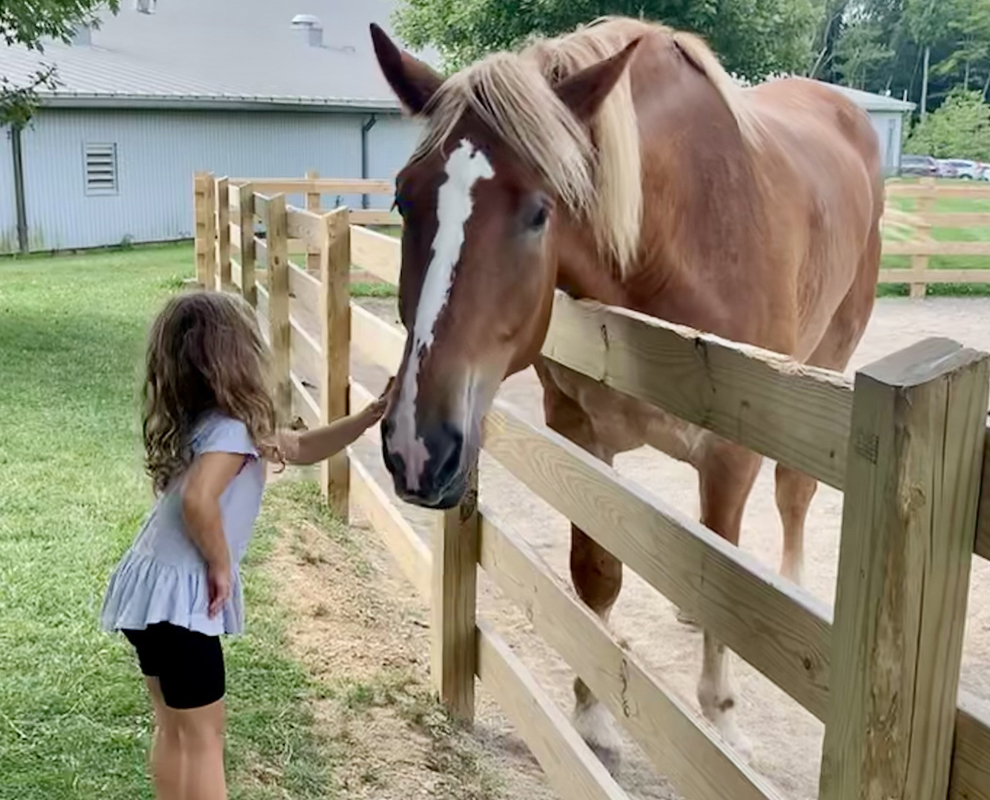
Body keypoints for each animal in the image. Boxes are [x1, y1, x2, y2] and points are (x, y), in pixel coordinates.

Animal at [372, 15, 884, 764]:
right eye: (404, 198)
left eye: (540, 212)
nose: (417, 447)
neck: (675, 238)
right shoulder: (580, 430)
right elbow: (597, 571)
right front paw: (592, 714)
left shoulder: (733, 451)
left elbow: (725, 588)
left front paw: (723, 720)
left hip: (831, 361)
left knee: (794, 493)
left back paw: (790, 582)